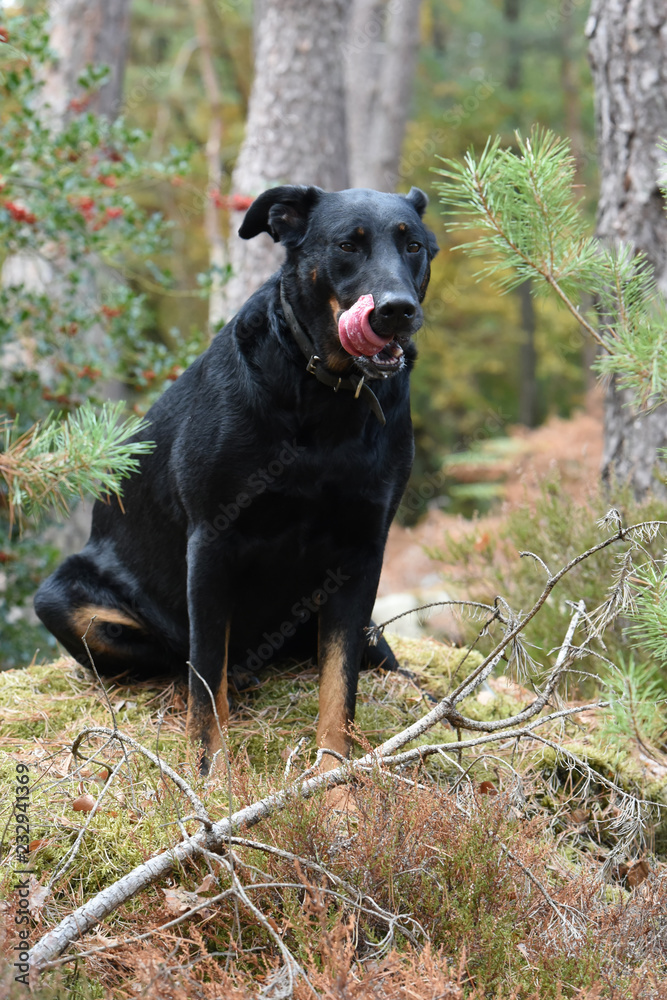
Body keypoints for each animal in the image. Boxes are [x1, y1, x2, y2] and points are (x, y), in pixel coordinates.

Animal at [35, 184, 438, 768]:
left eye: (414, 247)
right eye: (347, 244)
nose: (397, 310)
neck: (325, 400)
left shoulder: (362, 552)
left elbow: (339, 688)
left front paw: (336, 778)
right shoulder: (212, 539)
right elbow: (207, 672)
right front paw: (209, 767)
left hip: (368, 636)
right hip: (64, 601)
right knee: (179, 658)